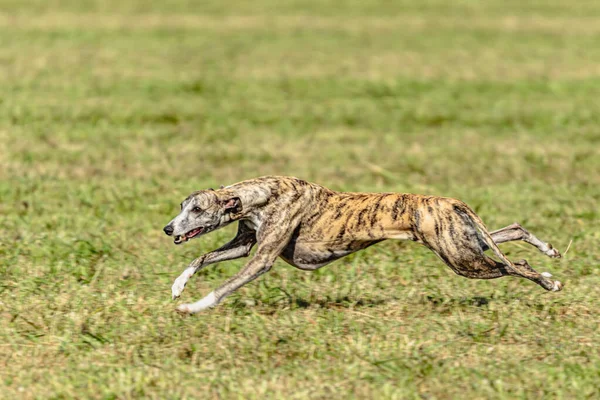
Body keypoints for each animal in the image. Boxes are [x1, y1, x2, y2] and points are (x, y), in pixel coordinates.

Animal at [162, 177, 560, 314]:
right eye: (183, 205)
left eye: (196, 209)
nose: (168, 229)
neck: (262, 194)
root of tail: (449, 201)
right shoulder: (245, 243)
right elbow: (202, 256)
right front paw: (178, 286)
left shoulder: (261, 258)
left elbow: (225, 286)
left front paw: (192, 307)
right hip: (466, 243)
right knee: (514, 231)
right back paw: (548, 253)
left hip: (464, 260)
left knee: (514, 266)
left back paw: (549, 280)